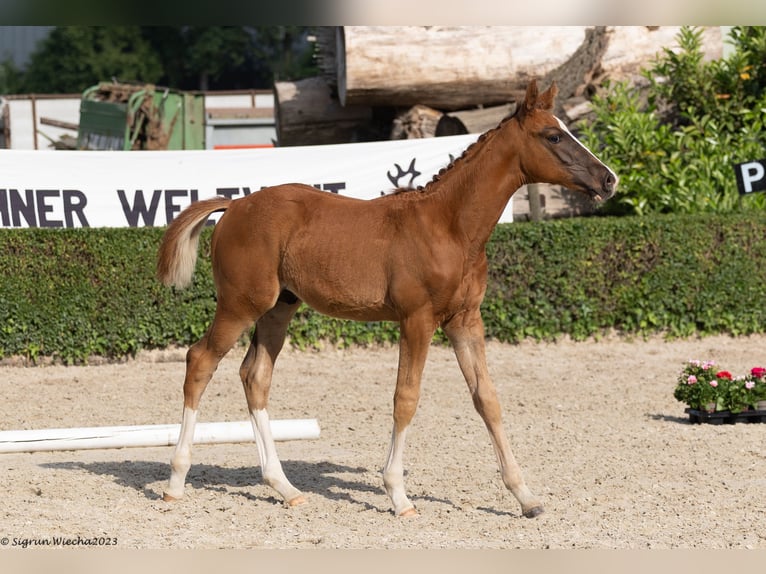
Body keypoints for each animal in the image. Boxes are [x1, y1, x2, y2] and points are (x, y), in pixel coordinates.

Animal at [156, 81, 616, 520]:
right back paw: (176, 482)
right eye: (554, 135)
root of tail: (234, 204)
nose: (608, 179)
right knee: (200, 361)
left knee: (255, 377)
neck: (449, 227)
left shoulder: (465, 319)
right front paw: (398, 495)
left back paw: (284, 488)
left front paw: (526, 498)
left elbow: (487, 399)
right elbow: (405, 398)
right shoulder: (417, 320)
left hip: (278, 308)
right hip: (240, 305)